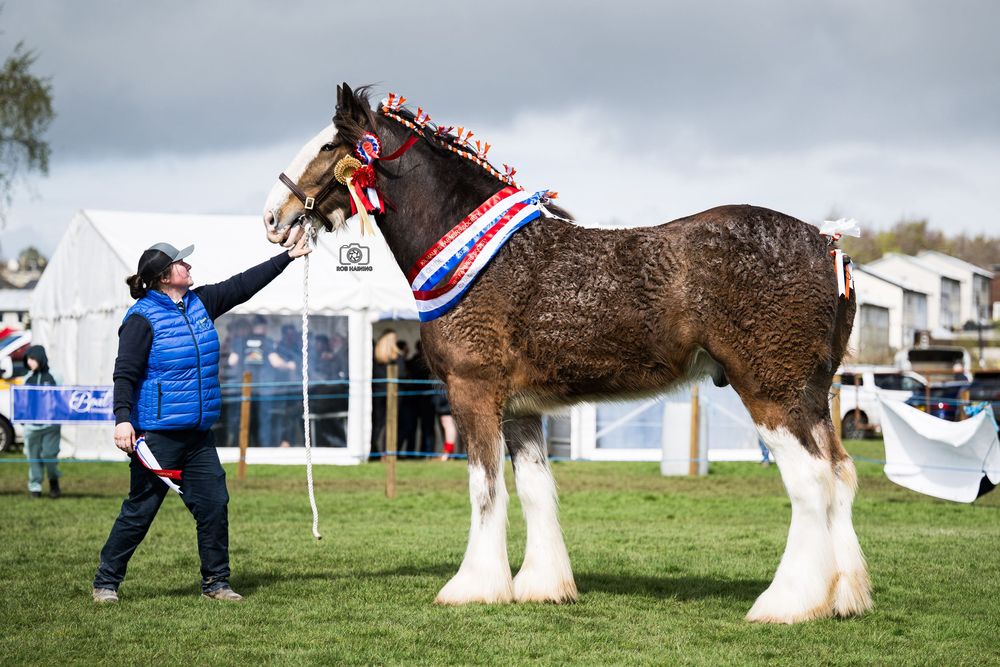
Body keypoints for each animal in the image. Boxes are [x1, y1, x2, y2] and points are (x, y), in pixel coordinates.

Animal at [261, 84, 872, 624]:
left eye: (329, 145)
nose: (273, 216)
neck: (478, 253)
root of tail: (827, 246)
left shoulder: (473, 391)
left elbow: (484, 489)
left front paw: (473, 587)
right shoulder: (522, 409)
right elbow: (535, 491)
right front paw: (541, 586)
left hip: (770, 392)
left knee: (811, 482)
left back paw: (788, 603)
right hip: (812, 395)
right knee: (840, 475)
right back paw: (844, 597)